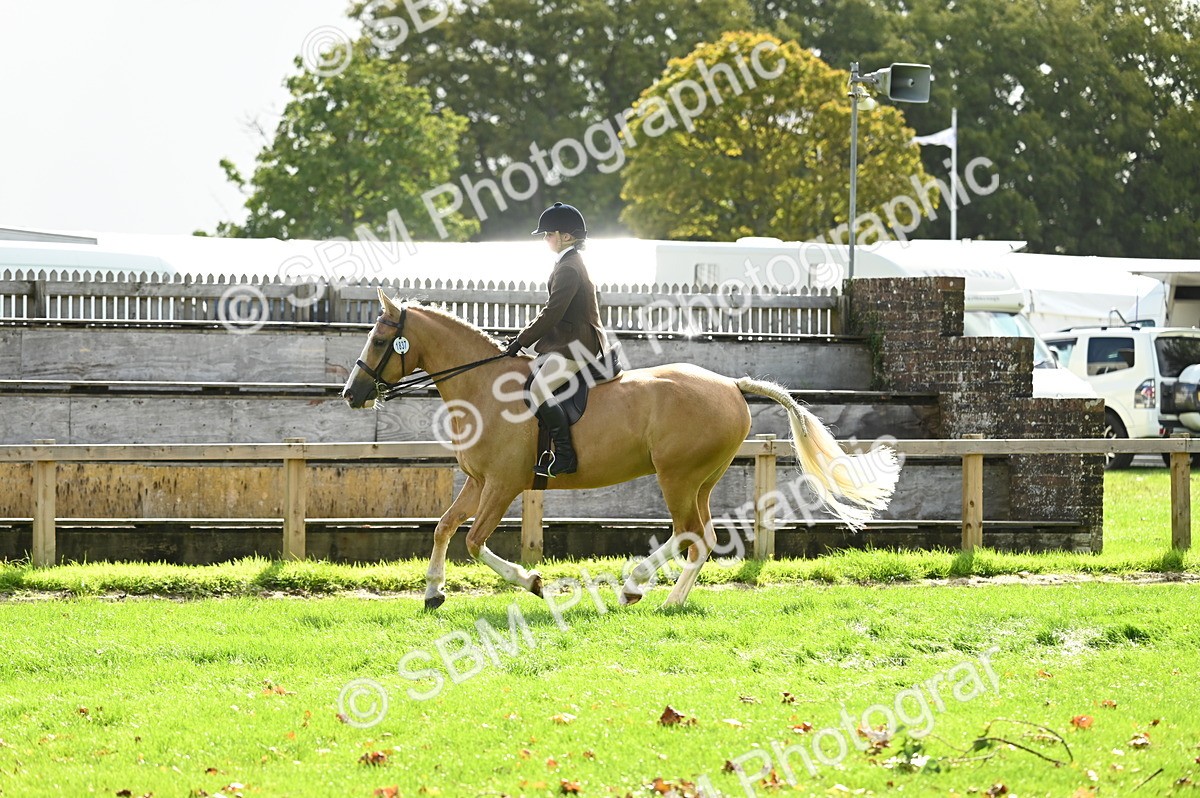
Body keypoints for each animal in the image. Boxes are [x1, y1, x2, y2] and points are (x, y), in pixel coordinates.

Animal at [342, 289, 900, 609]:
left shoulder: (501, 485)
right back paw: (665, 598)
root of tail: (731, 385)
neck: (483, 388)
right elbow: (443, 528)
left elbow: (476, 542)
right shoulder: (478, 481)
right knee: (701, 538)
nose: (351, 394)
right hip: (699, 480)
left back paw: (638, 587)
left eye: (379, 340)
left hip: (677, 477)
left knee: (690, 535)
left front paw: (533, 582)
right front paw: (433, 592)